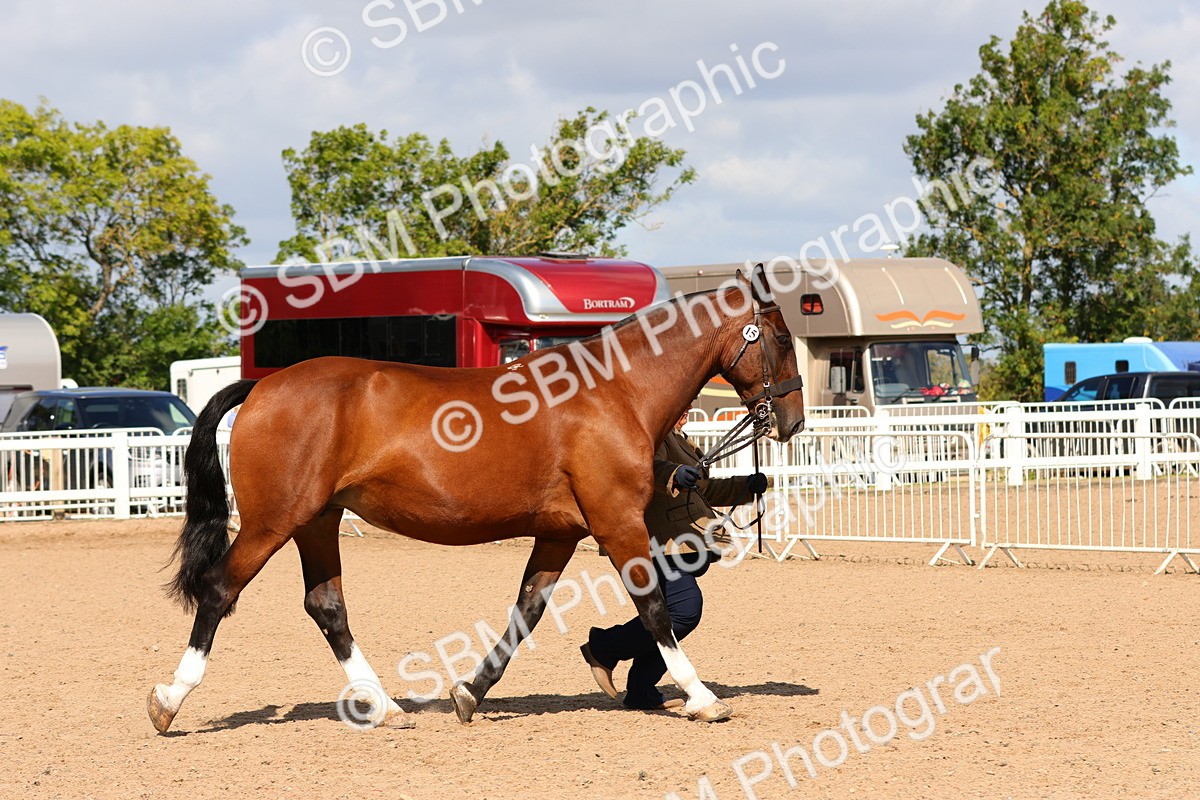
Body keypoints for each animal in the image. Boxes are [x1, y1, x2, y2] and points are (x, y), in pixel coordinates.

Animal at [147, 264, 806, 733]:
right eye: (779, 336)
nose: (795, 420)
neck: (615, 391)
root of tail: (263, 387)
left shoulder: (559, 532)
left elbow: (527, 610)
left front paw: (469, 693)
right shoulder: (617, 521)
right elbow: (655, 609)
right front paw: (704, 698)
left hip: (316, 521)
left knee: (325, 605)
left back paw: (385, 706)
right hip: (272, 521)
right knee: (219, 590)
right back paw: (168, 702)